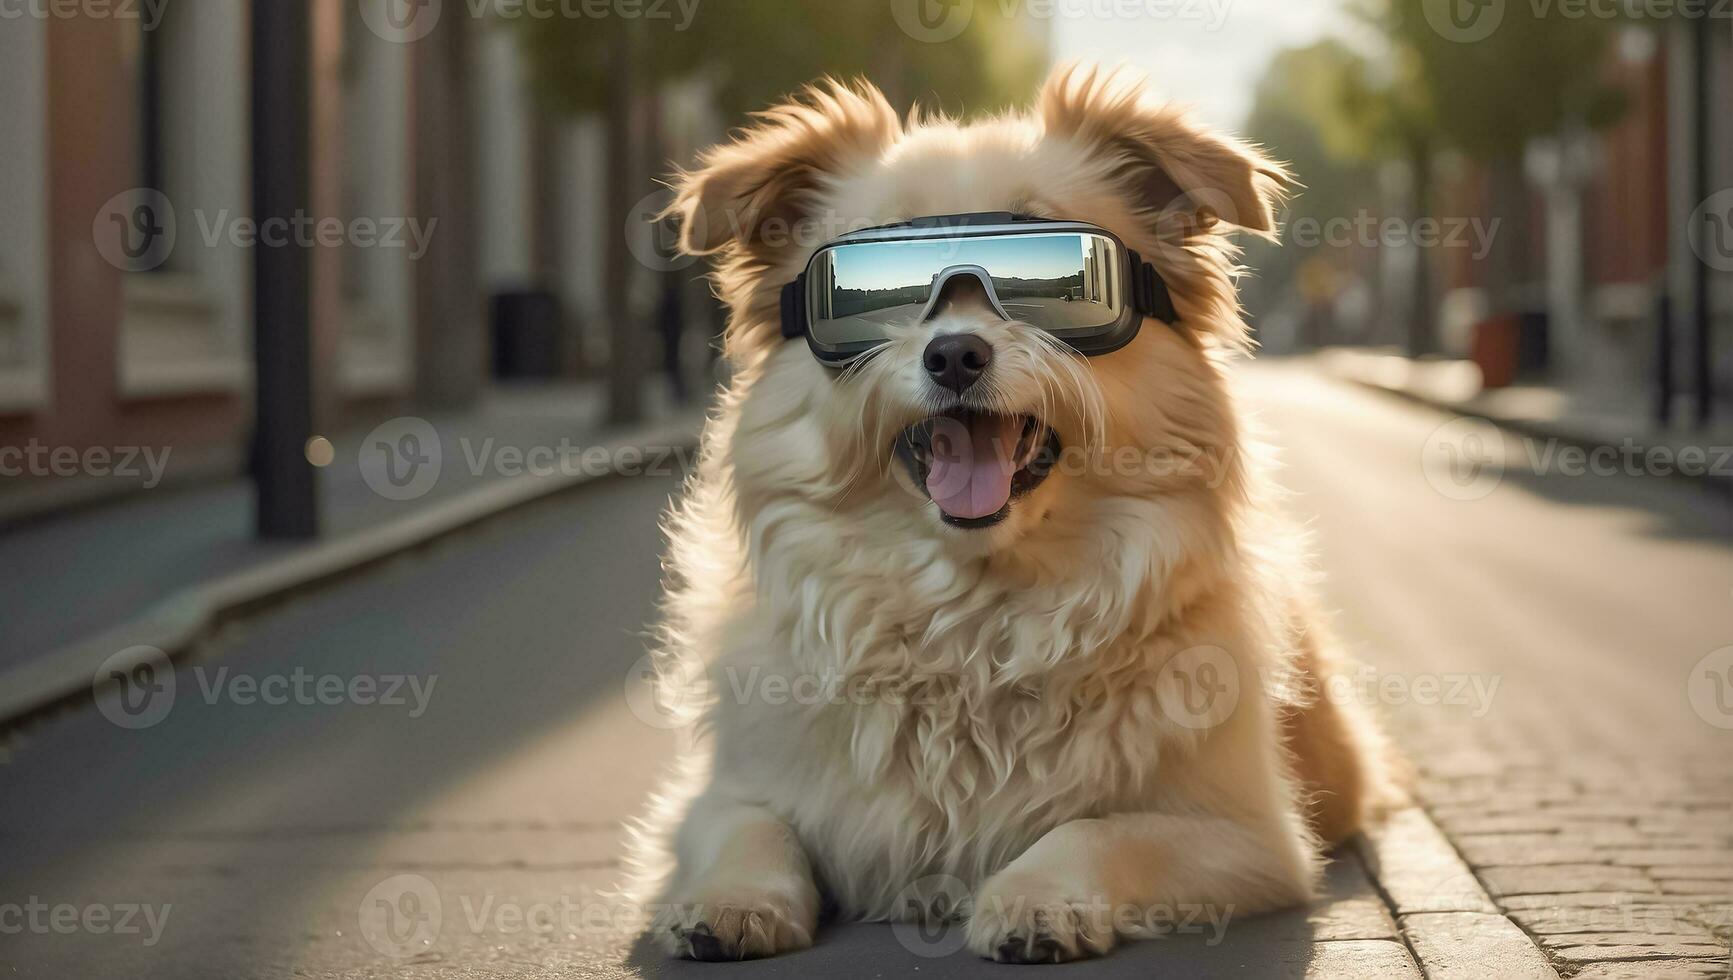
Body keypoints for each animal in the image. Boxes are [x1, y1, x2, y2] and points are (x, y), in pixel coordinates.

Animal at [630, 62, 1400, 964]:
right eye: (868, 289)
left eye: (1047, 275)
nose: (954, 353)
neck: (972, 614)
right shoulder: (706, 800)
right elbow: (750, 827)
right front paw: (729, 902)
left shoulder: (1249, 838)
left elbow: (1096, 832)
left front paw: (1034, 900)